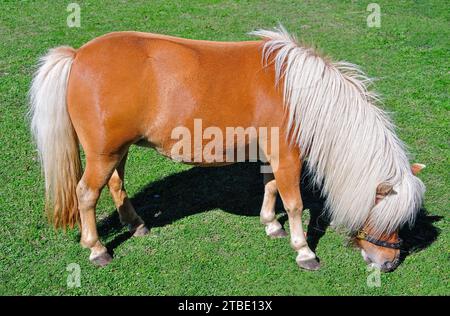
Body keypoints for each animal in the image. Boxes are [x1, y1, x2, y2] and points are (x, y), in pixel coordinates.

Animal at [29, 25, 426, 272]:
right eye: (387, 216)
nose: (389, 263)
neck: (302, 95)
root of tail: (78, 55)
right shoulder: (288, 156)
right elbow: (294, 203)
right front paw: (303, 250)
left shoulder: (271, 154)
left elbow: (270, 187)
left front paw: (271, 224)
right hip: (103, 154)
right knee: (86, 194)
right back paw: (96, 248)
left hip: (117, 151)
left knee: (115, 184)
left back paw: (137, 225)